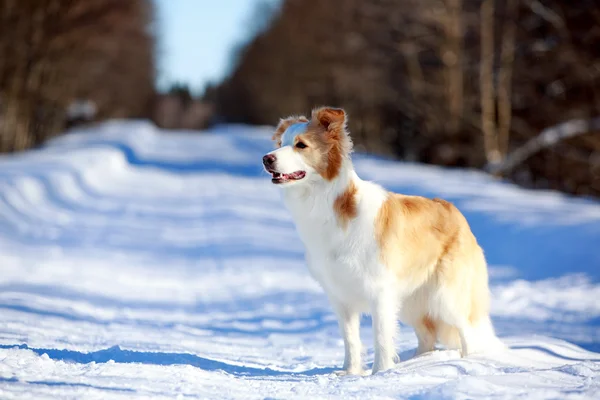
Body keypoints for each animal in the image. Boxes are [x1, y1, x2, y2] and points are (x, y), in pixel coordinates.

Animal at [262, 106, 502, 376]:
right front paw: (349, 373)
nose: (266, 159)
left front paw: (379, 373)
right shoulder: (340, 296)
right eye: (280, 143)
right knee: (427, 336)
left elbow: (381, 337)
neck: (326, 202)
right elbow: (351, 339)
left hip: (445, 295)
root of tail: (456, 212)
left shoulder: (379, 291)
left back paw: (467, 361)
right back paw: (418, 363)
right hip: (411, 302)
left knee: (466, 331)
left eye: (301, 145)